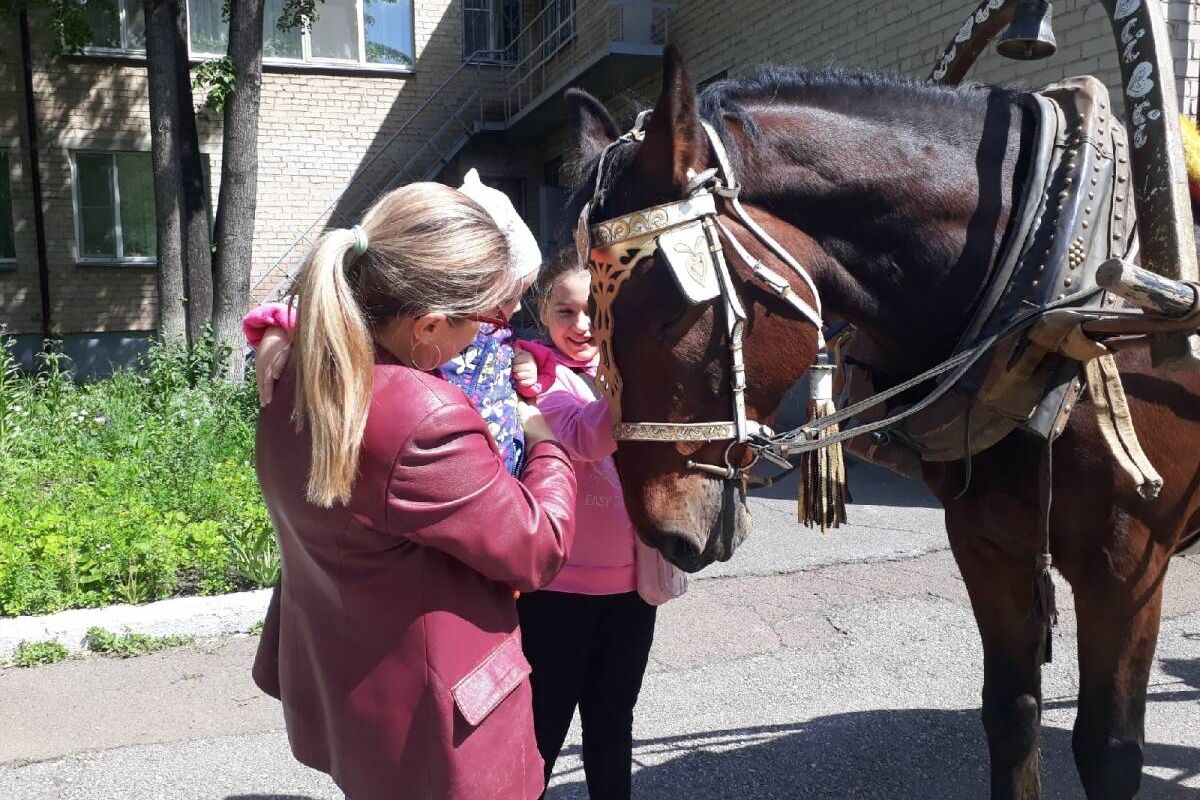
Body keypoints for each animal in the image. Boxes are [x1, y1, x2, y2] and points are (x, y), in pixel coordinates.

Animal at [566, 48, 1200, 800]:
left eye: (672, 308)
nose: (664, 533)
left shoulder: (1126, 564)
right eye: (590, 317)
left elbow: (1108, 751)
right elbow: (1011, 711)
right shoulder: (986, 540)